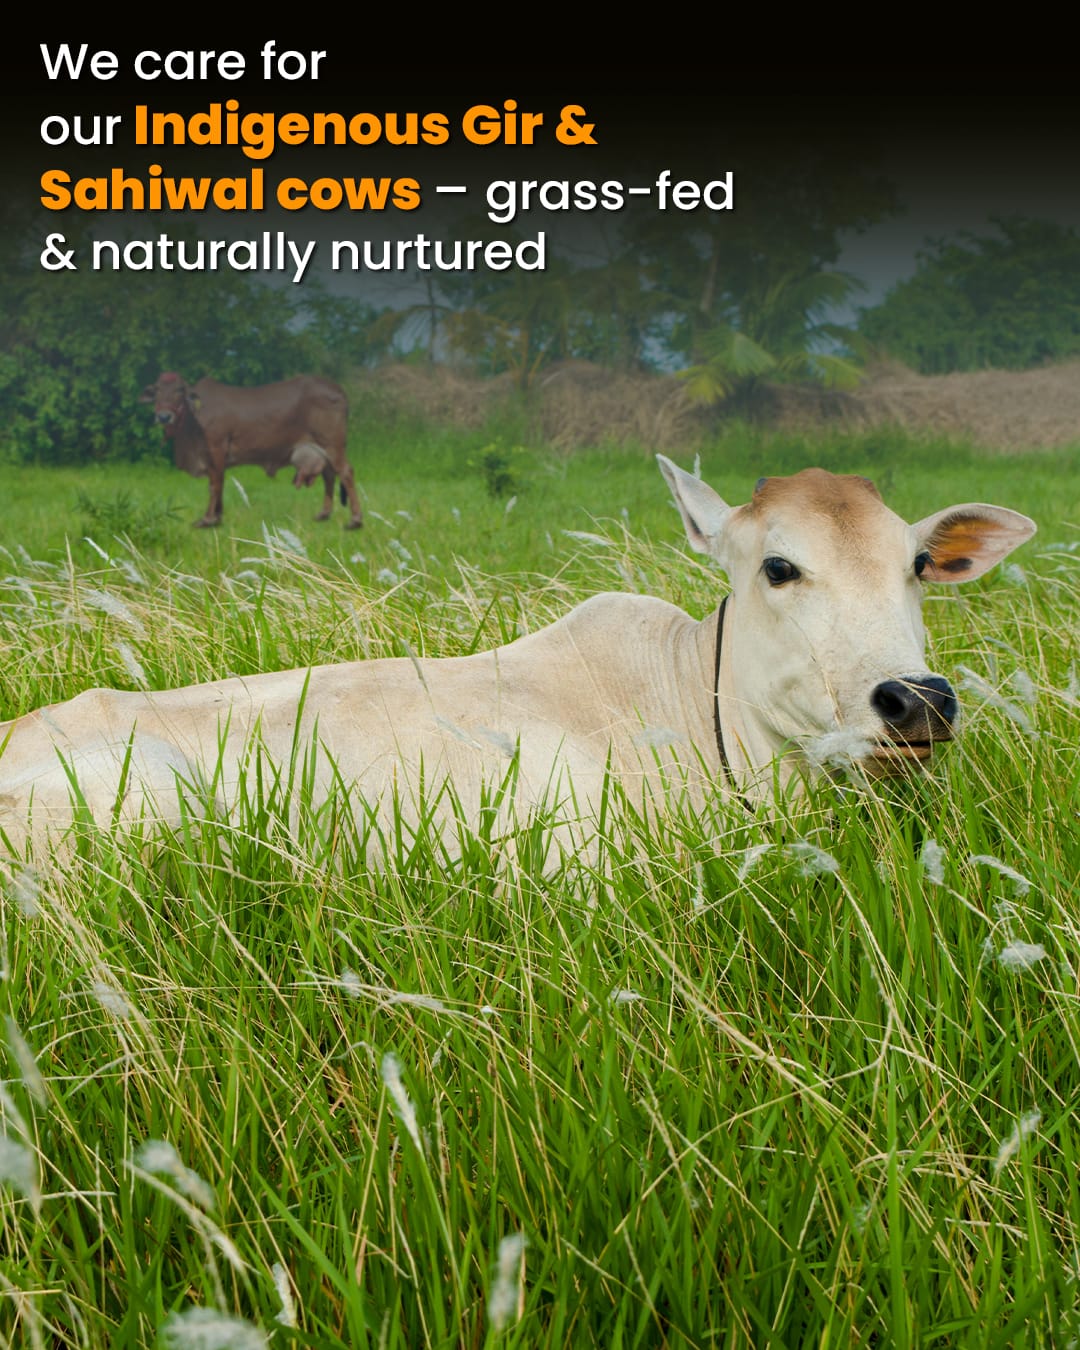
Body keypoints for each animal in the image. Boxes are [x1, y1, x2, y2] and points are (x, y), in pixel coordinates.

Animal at [140, 372, 364, 529]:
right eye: (157, 390)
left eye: (180, 390)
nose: (164, 416)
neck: (192, 421)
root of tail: (337, 389)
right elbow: (220, 483)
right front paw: (218, 516)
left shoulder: (215, 449)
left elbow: (215, 485)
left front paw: (207, 519)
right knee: (329, 474)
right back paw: (324, 514)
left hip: (332, 443)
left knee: (346, 472)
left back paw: (355, 520)